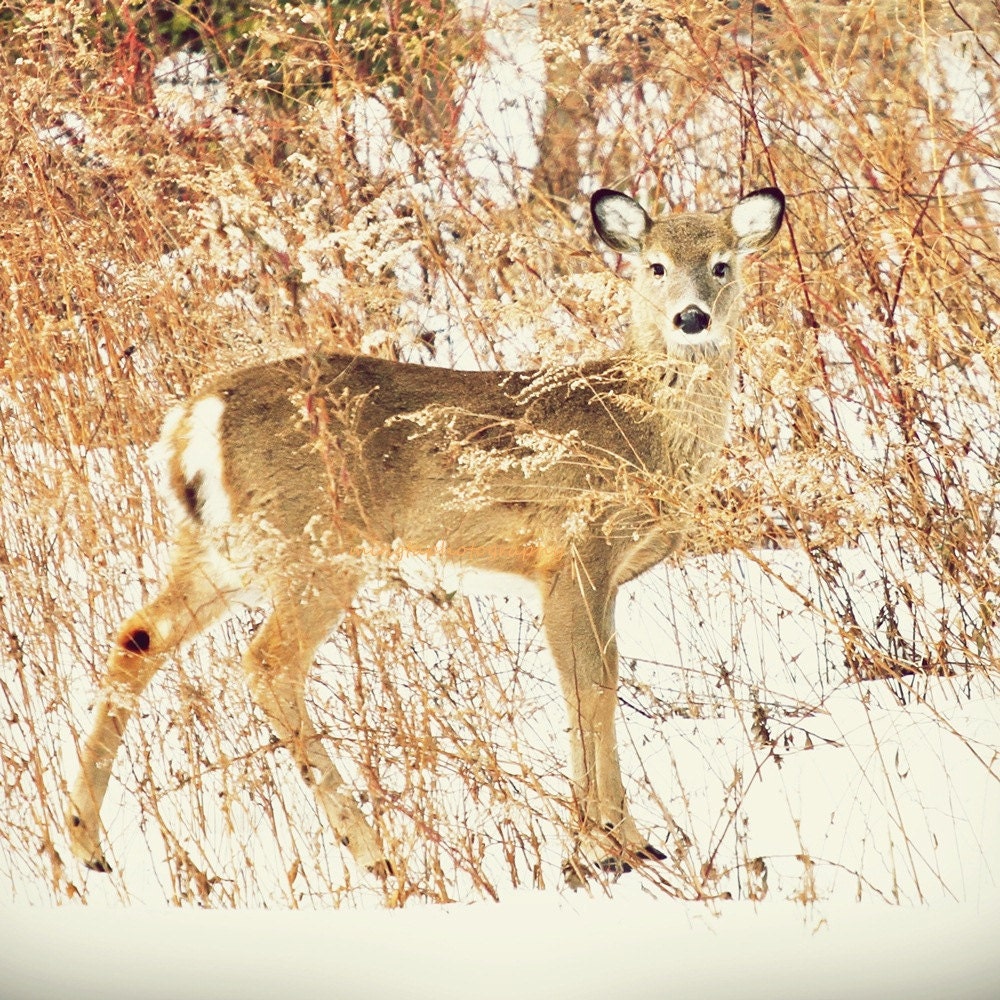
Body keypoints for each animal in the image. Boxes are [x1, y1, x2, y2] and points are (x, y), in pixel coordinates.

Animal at [66, 184, 784, 885]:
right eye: (655, 265)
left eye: (723, 263)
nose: (691, 318)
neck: (644, 430)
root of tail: (194, 418)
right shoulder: (574, 549)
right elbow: (589, 686)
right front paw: (610, 844)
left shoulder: (599, 572)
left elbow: (599, 681)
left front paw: (618, 842)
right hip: (317, 545)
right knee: (268, 664)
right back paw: (375, 851)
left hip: (220, 550)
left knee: (138, 636)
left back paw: (86, 843)